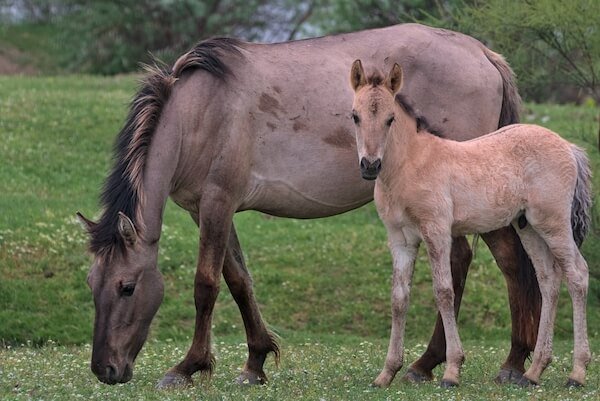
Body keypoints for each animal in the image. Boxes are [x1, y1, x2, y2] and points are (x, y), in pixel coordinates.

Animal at [78, 23, 540, 386]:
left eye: (127, 287)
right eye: (92, 284)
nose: (105, 370)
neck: (201, 111)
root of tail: (482, 53)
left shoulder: (217, 204)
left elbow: (206, 285)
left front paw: (187, 367)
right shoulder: (206, 210)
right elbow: (238, 280)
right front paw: (255, 361)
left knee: (508, 261)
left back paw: (511, 363)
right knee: (462, 261)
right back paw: (427, 364)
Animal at [350, 60, 592, 388]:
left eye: (390, 119)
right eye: (355, 116)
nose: (370, 166)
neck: (410, 165)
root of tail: (569, 147)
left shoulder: (437, 232)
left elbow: (444, 292)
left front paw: (452, 370)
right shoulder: (400, 239)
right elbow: (399, 299)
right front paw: (387, 373)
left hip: (552, 223)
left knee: (577, 274)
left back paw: (577, 373)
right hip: (528, 227)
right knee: (549, 280)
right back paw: (533, 371)